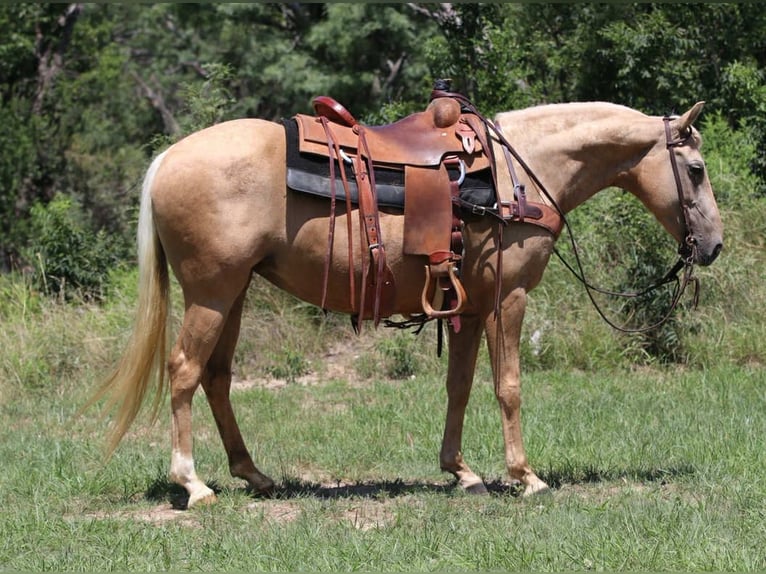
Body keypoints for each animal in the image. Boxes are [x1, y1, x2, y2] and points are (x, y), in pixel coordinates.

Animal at [94, 99, 723, 508]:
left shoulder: (468, 308)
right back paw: (193, 484)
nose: (713, 245)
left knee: (217, 377)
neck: (519, 175)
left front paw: (462, 472)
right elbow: (509, 386)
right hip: (212, 292)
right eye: (695, 170)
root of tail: (168, 159)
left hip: (235, 292)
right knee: (184, 371)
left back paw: (254, 475)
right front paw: (525, 476)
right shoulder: (507, 299)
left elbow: (460, 386)